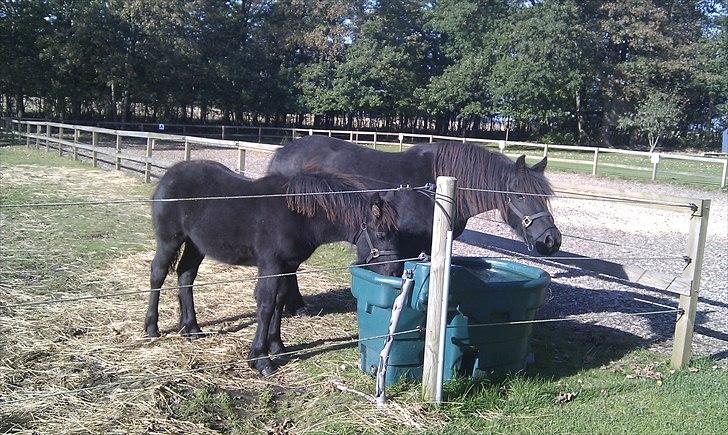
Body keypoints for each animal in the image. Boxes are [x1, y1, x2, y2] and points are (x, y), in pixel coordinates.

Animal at [145, 160, 400, 375]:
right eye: (381, 234)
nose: (395, 271)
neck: (297, 214)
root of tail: (169, 175)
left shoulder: (288, 266)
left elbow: (279, 302)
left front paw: (278, 347)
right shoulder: (271, 264)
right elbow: (266, 306)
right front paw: (260, 359)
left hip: (196, 245)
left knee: (185, 276)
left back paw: (191, 328)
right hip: (169, 241)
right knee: (158, 274)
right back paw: (151, 328)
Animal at [268, 137, 562, 312]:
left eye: (546, 197)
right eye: (521, 195)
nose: (551, 240)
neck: (435, 188)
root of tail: (282, 153)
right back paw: (296, 305)